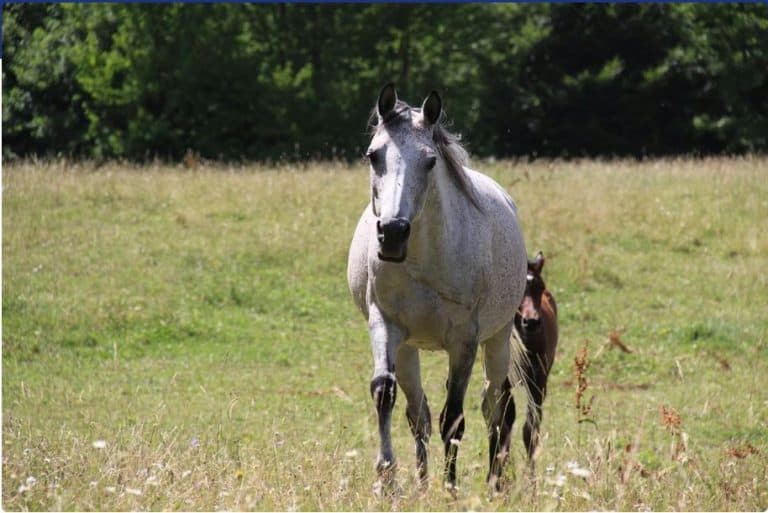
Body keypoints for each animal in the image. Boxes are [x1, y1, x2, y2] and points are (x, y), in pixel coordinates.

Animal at [347, 83, 529, 492]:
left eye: (430, 161)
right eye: (373, 155)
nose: (392, 233)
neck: (423, 259)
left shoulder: (464, 340)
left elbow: (454, 418)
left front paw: (450, 489)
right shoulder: (385, 324)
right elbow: (385, 393)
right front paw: (387, 478)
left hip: (496, 338)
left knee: (495, 405)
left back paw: (495, 481)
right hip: (409, 347)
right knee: (420, 413)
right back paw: (421, 483)